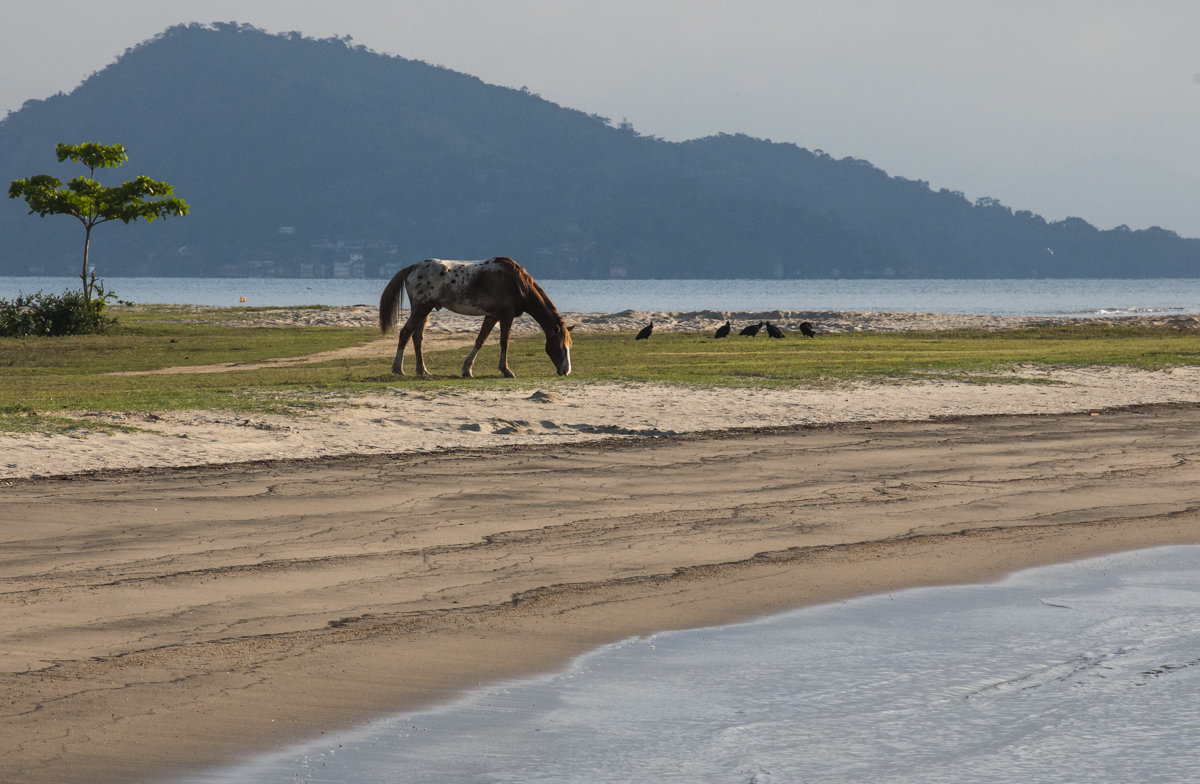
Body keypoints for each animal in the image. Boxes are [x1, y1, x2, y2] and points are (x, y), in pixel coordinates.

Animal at [381, 255, 573, 376]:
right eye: (560, 345)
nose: (566, 371)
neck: (517, 282)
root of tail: (413, 267)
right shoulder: (506, 315)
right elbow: (504, 342)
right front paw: (506, 370)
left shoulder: (492, 316)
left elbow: (480, 340)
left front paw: (467, 369)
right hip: (421, 308)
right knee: (406, 333)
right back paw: (398, 369)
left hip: (426, 310)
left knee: (417, 338)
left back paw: (422, 370)